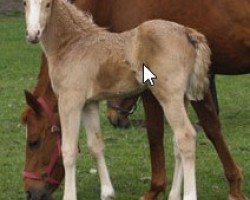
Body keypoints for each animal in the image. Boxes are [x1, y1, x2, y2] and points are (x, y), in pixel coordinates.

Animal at [22, 0, 250, 199]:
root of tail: (188, 33)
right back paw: (174, 195)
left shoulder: (70, 101)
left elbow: (68, 151)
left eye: (34, 142)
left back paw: (189, 195)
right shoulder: (89, 104)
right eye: (24, 3)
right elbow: (96, 145)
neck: (74, 44)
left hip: (168, 97)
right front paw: (107, 193)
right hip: (182, 98)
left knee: (186, 136)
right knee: (178, 143)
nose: (33, 35)